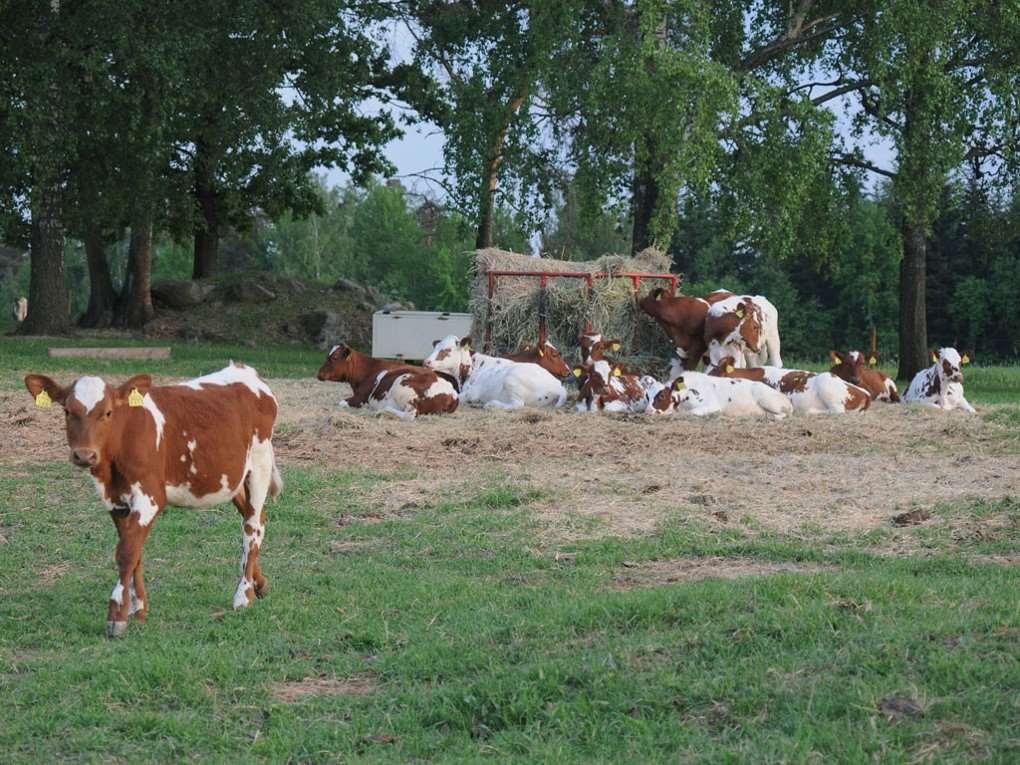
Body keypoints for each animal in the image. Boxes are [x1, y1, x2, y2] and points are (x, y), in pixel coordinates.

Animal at [23, 363, 283, 636]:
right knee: (256, 518)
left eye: (107, 412)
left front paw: (116, 616)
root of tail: (245, 370)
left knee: (252, 527)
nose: (84, 455)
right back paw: (258, 583)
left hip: (259, 466)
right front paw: (138, 609)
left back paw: (243, 594)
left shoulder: (150, 497)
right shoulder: (115, 501)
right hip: (232, 478)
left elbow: (127, 552)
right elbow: (134, 550)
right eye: (67, 411)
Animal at [318, 346, 459, 420]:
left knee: (409, 414)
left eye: (335, 357)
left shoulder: (361, 398)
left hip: (403, 384)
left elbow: (341, 402)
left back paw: (382, 411)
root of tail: (452, 393)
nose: (319, 373)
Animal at [422, 334, 567, 410]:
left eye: (447, 350)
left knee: (517, 405)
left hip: (511, 379)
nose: (426, 362)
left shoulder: (472, 393)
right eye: (435, 347)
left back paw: (491, 404)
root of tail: (559, 386)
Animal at [648, 371, 791, 420]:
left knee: (781, 415)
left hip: (768, 401)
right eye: (647, 396)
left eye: (661, 395)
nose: (647, 411)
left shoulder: (712, 406)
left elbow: (691, 412)